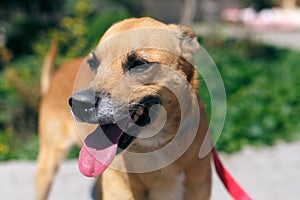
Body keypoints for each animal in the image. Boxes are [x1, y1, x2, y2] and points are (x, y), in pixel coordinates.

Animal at [37, 17, 211, 200]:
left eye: (139, 64)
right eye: (92, 63)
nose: (79, 103)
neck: (155, 145)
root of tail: (57, 72)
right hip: (47, 164)